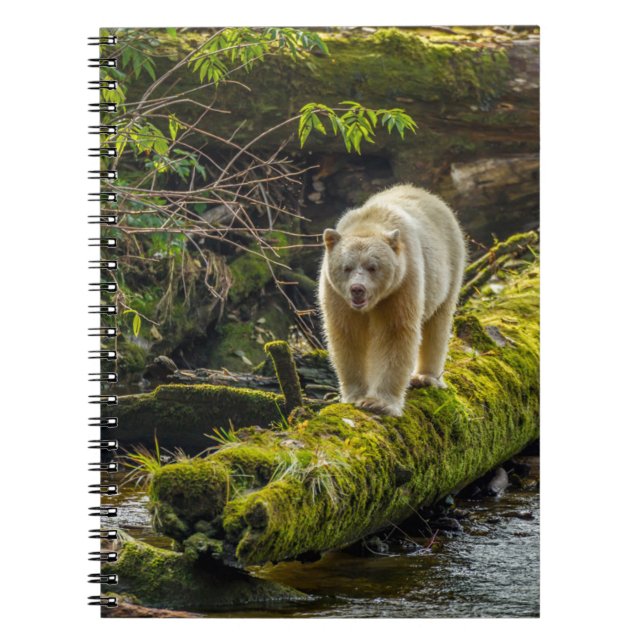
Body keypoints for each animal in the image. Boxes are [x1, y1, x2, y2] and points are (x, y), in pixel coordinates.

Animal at [319, 184, 467, 417]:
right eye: (347, 267)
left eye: (372, 267)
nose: (357, 289)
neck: (368, 224)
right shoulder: (336, 295)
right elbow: (347, 336)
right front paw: (356, 396)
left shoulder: (402, 285)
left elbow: (395, 333)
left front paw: (379, 402)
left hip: (448, 269)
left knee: (438, 324)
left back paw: (425, 377)